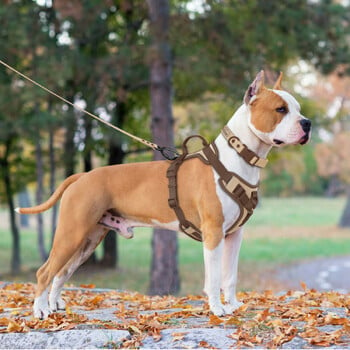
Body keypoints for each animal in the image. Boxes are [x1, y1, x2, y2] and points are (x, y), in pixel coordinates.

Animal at [16, 70, 312, 318]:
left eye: (298, 109)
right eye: (281, 109)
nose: (308, 123)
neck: (237, 158)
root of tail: (82, 176)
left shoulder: (234, 235)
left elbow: (230, 276)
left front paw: (234, 305)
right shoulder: (213, 233)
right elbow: (214, 277)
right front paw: (218, 309)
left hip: (88, 239)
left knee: (62, 272)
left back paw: (54, 303)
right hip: (72, 232)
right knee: (45, 271)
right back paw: (40, 310)